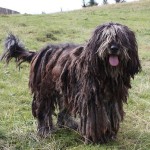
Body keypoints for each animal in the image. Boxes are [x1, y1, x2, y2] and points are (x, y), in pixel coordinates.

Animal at [0, 22, 141, 144]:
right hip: (45, 89)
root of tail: (37, 53)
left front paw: (109, 135)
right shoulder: (91, 99)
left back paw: (68, 124)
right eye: (105, 37)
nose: (113, 48)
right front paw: (96, 138)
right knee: (43, 110)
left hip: (65, 88)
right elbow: (94, 119)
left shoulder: (112, 98)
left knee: (64, 108)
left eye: (121, 37)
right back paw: (45, 130)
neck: (105, 74)